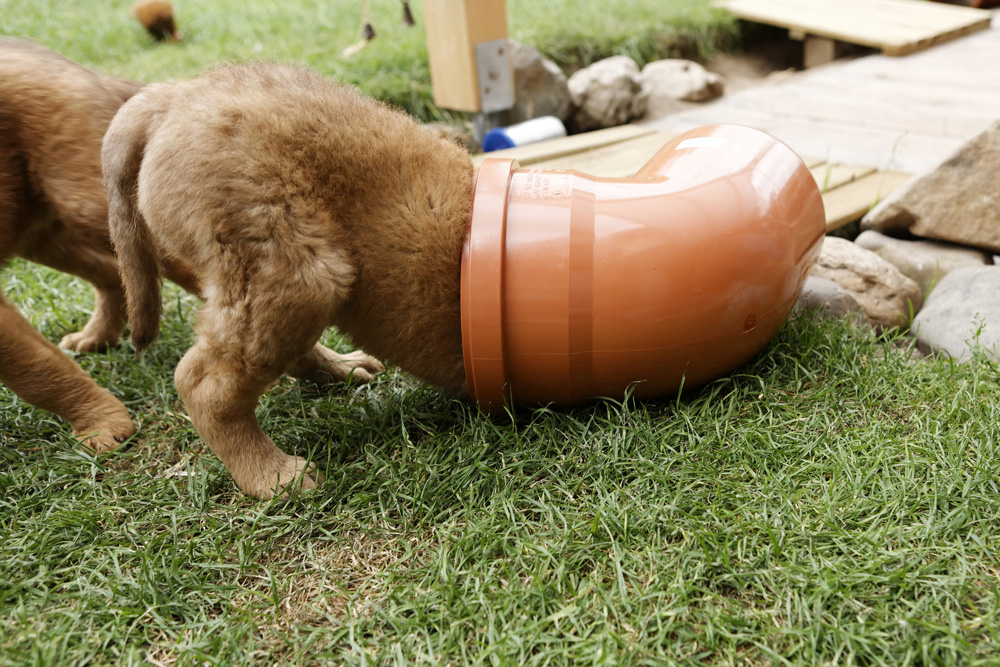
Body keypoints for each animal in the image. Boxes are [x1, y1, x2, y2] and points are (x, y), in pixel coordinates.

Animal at [105, 64, 472, 500]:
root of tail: (175, 94)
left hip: (266, 282)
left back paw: (341, 368)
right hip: (299, 272)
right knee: (203, 385)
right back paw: (273, 476)